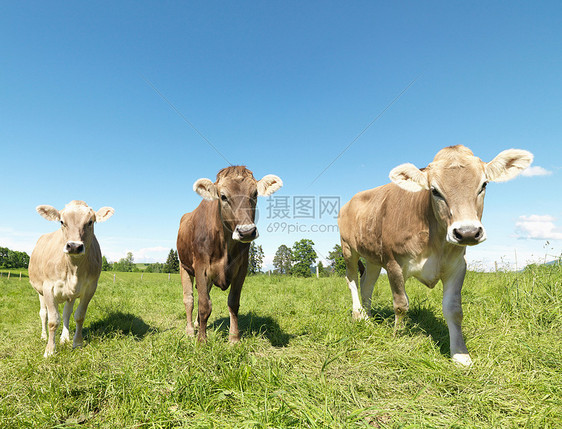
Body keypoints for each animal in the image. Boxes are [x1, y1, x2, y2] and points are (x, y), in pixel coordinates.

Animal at [177, 166, 282, 342]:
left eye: (255, 194)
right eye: (223, 196)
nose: (246, 232)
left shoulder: (241, 268)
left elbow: (233, 303)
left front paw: (234, 339)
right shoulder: (200, 267)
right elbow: (204, 305)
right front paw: (202, 341)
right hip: (183, 266)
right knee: (189, 299)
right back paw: (190, 330)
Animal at [336, 145, 528, 364]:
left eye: (484, 185)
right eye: (435, 191)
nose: (467, 232)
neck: (435, 242)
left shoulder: (457, 265)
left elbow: (454, 310)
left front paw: (460, 354)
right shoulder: (394, 263)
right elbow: (401, 304)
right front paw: (398, 336)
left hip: (373, 256)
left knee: (367, 283)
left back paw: (368, 319)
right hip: (348, 249)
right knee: (352, 279)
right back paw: (358, 314)